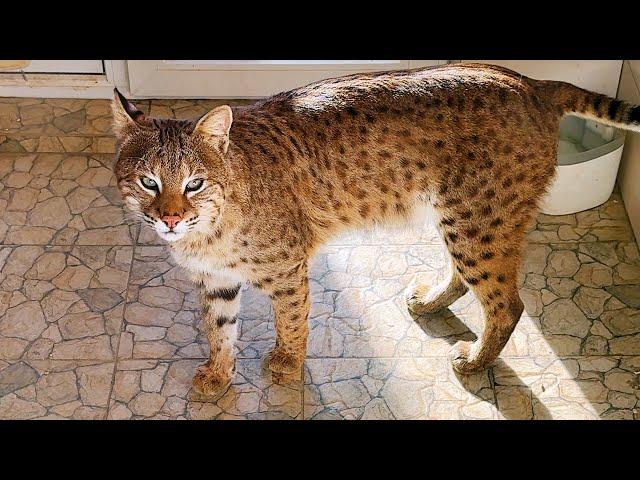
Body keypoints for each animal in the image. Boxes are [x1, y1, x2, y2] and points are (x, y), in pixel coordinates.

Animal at [112, 62, 640, 396]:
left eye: (195, 183)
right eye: (148, 181)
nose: (169, 219)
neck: (206, 230)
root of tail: (528, 81)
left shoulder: (287, 267)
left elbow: (291, 317)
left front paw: (287, 363)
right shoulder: (216, 279)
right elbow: (219, 329)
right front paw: (220, 375)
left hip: (478, 220)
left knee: (508, 303)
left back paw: (474, 362)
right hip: (460, 216)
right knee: (471, 278)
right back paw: (432, 303)